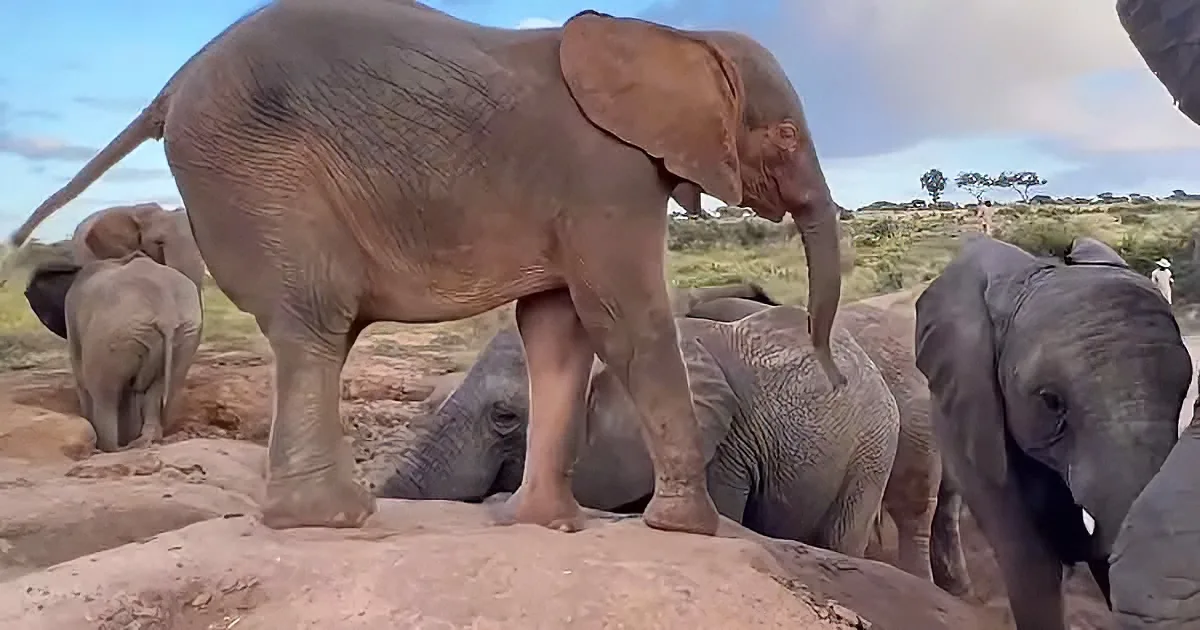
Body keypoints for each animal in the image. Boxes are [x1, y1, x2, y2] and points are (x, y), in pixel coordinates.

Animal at [23, 252, 204, 452]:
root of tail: (166, 312)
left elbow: (82, 377)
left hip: (114, 334)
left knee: (104, 393)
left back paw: (111, 447)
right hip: (184, 335)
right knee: (157, 387)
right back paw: (143, 441)